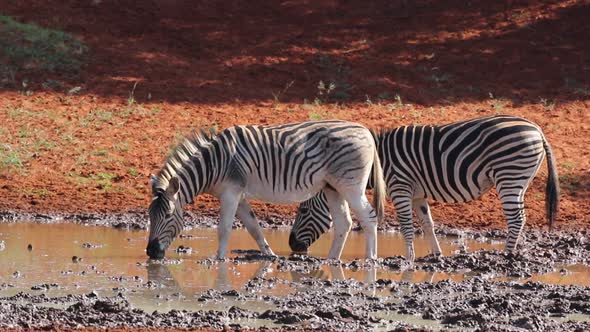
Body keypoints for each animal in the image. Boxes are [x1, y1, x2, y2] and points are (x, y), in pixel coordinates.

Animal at [147, 120, 388, 260]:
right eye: (150, 216)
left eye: (168, 215)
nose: (150, 252)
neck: (214, 163)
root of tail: (365, 130)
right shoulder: (238, 194)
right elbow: (254, 227)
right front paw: (270, 254)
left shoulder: (231, 192)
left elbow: (224, 228)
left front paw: (219, 259)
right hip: (333, 188)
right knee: (343, 223)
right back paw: (332, 260)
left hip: (351, 186)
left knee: (369, 217)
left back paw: (370, 259)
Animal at [290, 115, 560, 260]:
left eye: (302, 211)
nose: (293, 246)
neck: (378, 160)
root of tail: (537, 129)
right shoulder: (418, 196)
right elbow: (427, 224)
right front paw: (436, 254)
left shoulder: (400, 187)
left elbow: (407, 225)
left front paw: (408, 257)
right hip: (519, 180)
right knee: (520, 216)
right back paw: (514, 250)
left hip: (509, 175)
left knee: (517, 218)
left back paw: (507, 252)